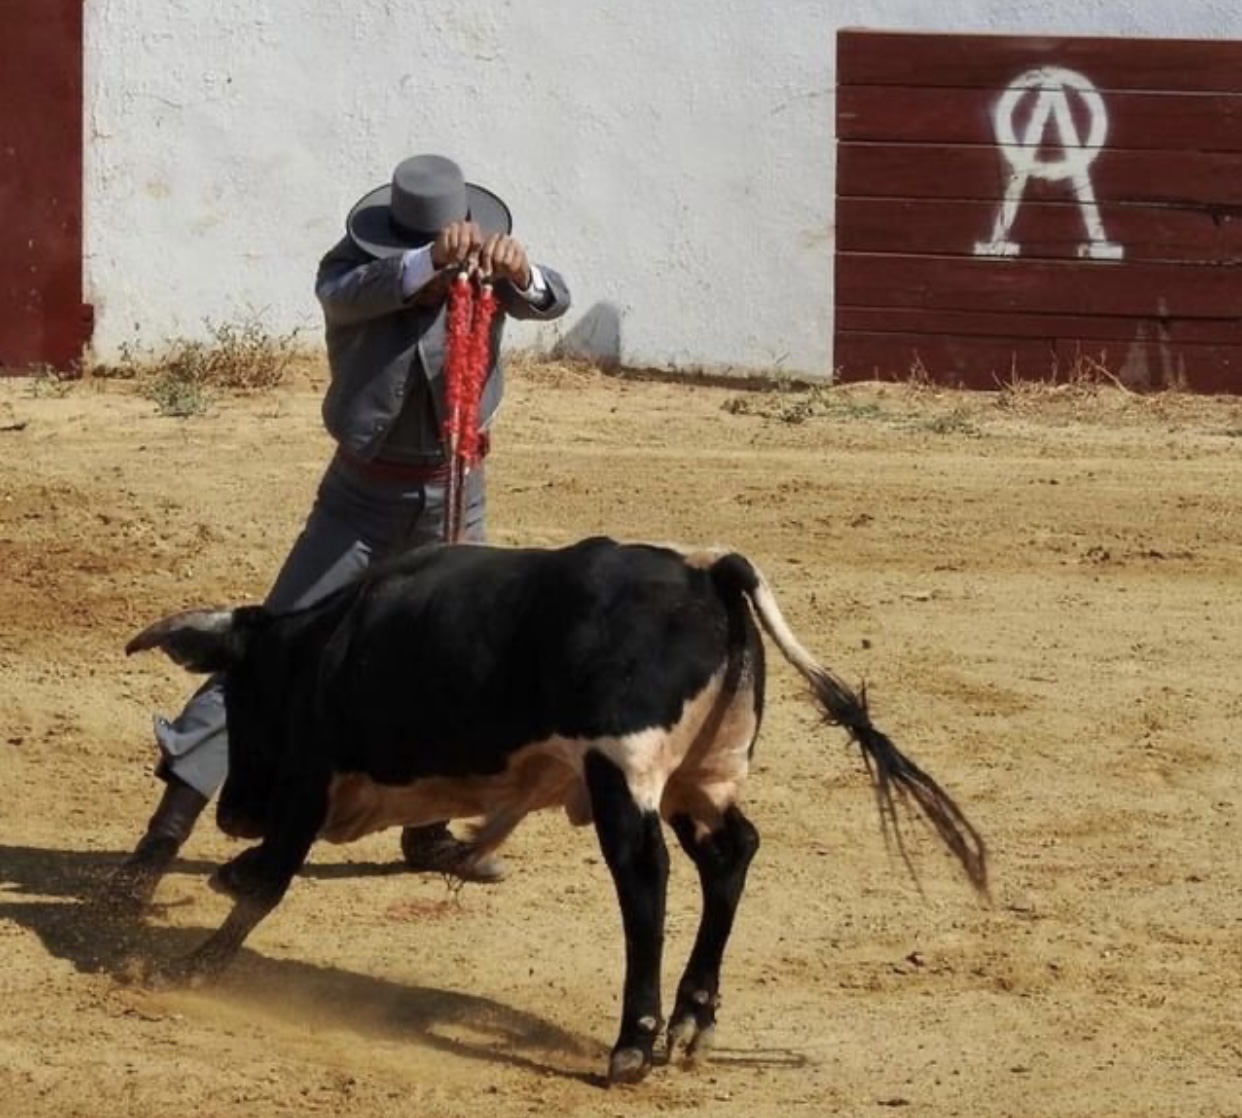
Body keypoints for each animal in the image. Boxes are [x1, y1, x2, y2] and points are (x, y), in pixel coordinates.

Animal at [121, 536, 983, 1088]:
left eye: (240, 697)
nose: (235, 816)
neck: (325, 644)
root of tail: (707, 571)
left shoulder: (310, 778)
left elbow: (271, 883)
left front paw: (188, 966)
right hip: (699, 779)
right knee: (730, 856)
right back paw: (690, 1020)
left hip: (624, 772)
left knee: (646, 879)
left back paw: (633, 1044)